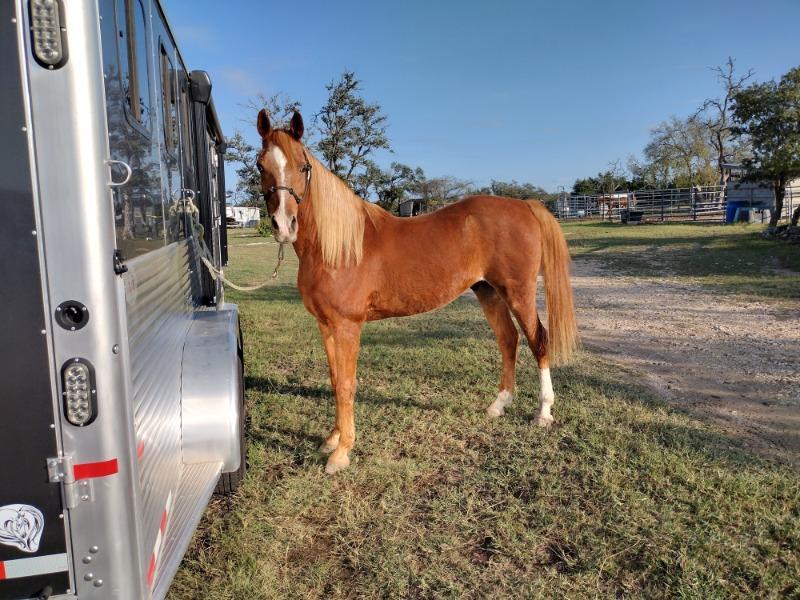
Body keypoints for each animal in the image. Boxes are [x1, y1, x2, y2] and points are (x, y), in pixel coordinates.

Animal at [255, 109, 578, 474]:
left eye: (303, 166)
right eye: (260, 166)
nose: (284, 225)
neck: (337, 247)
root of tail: (524, 206)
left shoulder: (347, 325)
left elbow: (348, 384)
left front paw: (342, 453)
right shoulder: (325, 324)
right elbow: (336, 379)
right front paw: (331, 440)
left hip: (518, 292)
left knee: (538, 340)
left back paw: (543, 413)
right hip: (488, 291)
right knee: (508, 340)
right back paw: (498, 406)